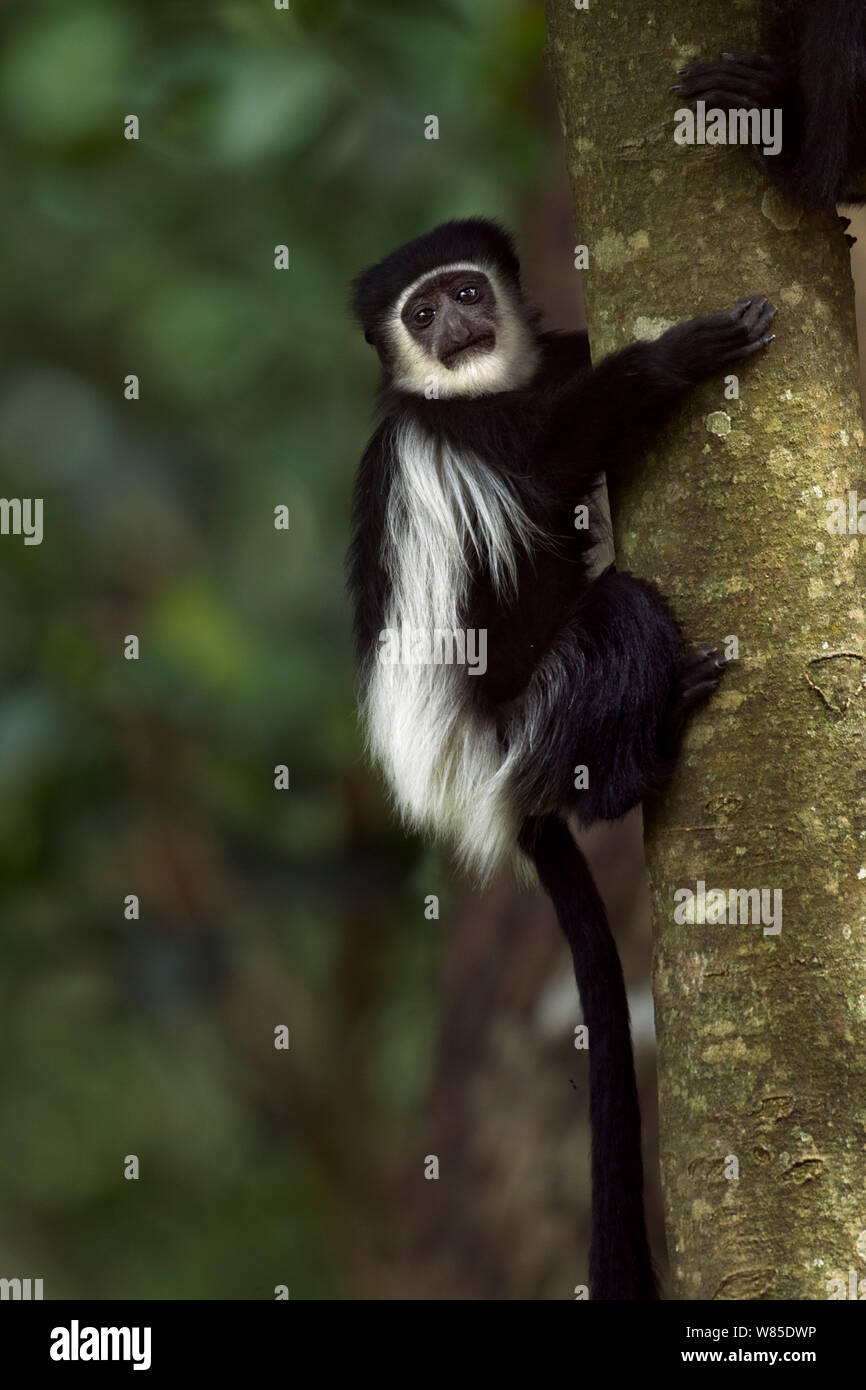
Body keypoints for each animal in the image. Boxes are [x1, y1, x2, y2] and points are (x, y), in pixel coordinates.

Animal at [346, 214, 778, 1289]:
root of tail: (491, 804)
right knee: (621, 615)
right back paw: (651, 745)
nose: (456, 326)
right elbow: (545, 472)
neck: (475, 390)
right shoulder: (464, 442)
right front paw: (676, 358)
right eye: (422, 311)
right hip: (539, 719)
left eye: (467, 291)